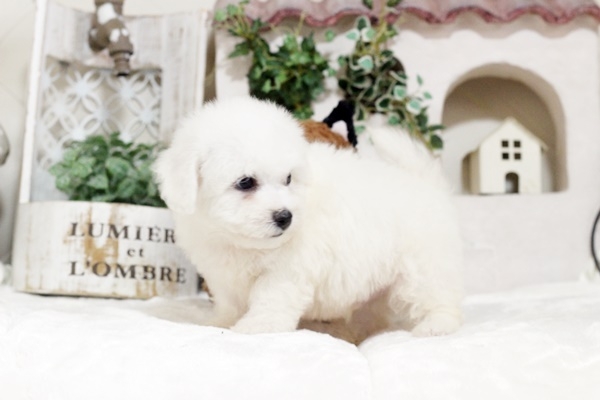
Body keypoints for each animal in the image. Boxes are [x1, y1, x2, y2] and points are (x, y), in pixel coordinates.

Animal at [153, 97, 464, 339]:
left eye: (288, 179)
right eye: (245, 182)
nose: (285, 217)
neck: (240, 242)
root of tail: (427, 185)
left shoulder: (287, 269)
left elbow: (271, 298)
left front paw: (257, 327)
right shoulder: (222, 275)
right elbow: (229, 303)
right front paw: (220, 322)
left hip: (422, 265)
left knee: (437, 296)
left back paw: (436, 325)